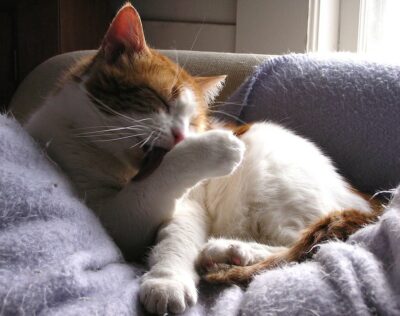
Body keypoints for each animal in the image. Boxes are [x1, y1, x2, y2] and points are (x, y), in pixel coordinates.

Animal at [24, 3, 382, 314]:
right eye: (161, 101)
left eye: (193, 120)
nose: (182, 137)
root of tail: (370, 202)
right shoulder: (113, 216)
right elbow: (149, 191)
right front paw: (213, 150)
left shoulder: (186, 207)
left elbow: (177, 241)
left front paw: (167, 281)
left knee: (299, 244)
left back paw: (232, 250)